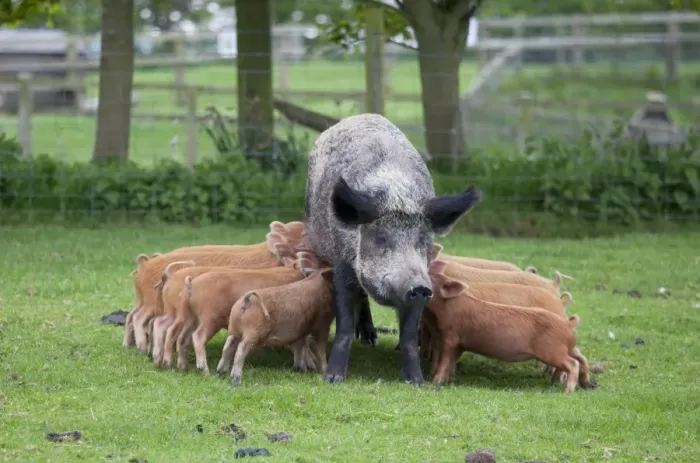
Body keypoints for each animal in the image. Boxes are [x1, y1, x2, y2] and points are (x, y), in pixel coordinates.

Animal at [153, 258, 318, 372]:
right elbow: (301, 343)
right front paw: (305, 367)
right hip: (206, 317)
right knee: (192, 335)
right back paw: (203, 370)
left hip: (188, 316)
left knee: (176, 334)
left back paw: (178, 367)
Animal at [303, 113, 481, 384]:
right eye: (381, 239)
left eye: (422, 240)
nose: (418, 286)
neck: (396, 195)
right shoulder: (343, 264)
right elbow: (344, 322)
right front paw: (333, 379)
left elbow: (408, 334)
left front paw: (417, 382)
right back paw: (369, 339)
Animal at [426, 263, 591, 394]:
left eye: (429, 279)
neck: (449, 306)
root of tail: (568, 323)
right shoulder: (459, 343)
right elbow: (452, 360)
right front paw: (449, 380)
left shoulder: (451, 336)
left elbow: (445, 359)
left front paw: (435, 382)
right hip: (563, 349)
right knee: (576, 359)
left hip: (553, 351)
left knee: (572, 363)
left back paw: (567, 391)